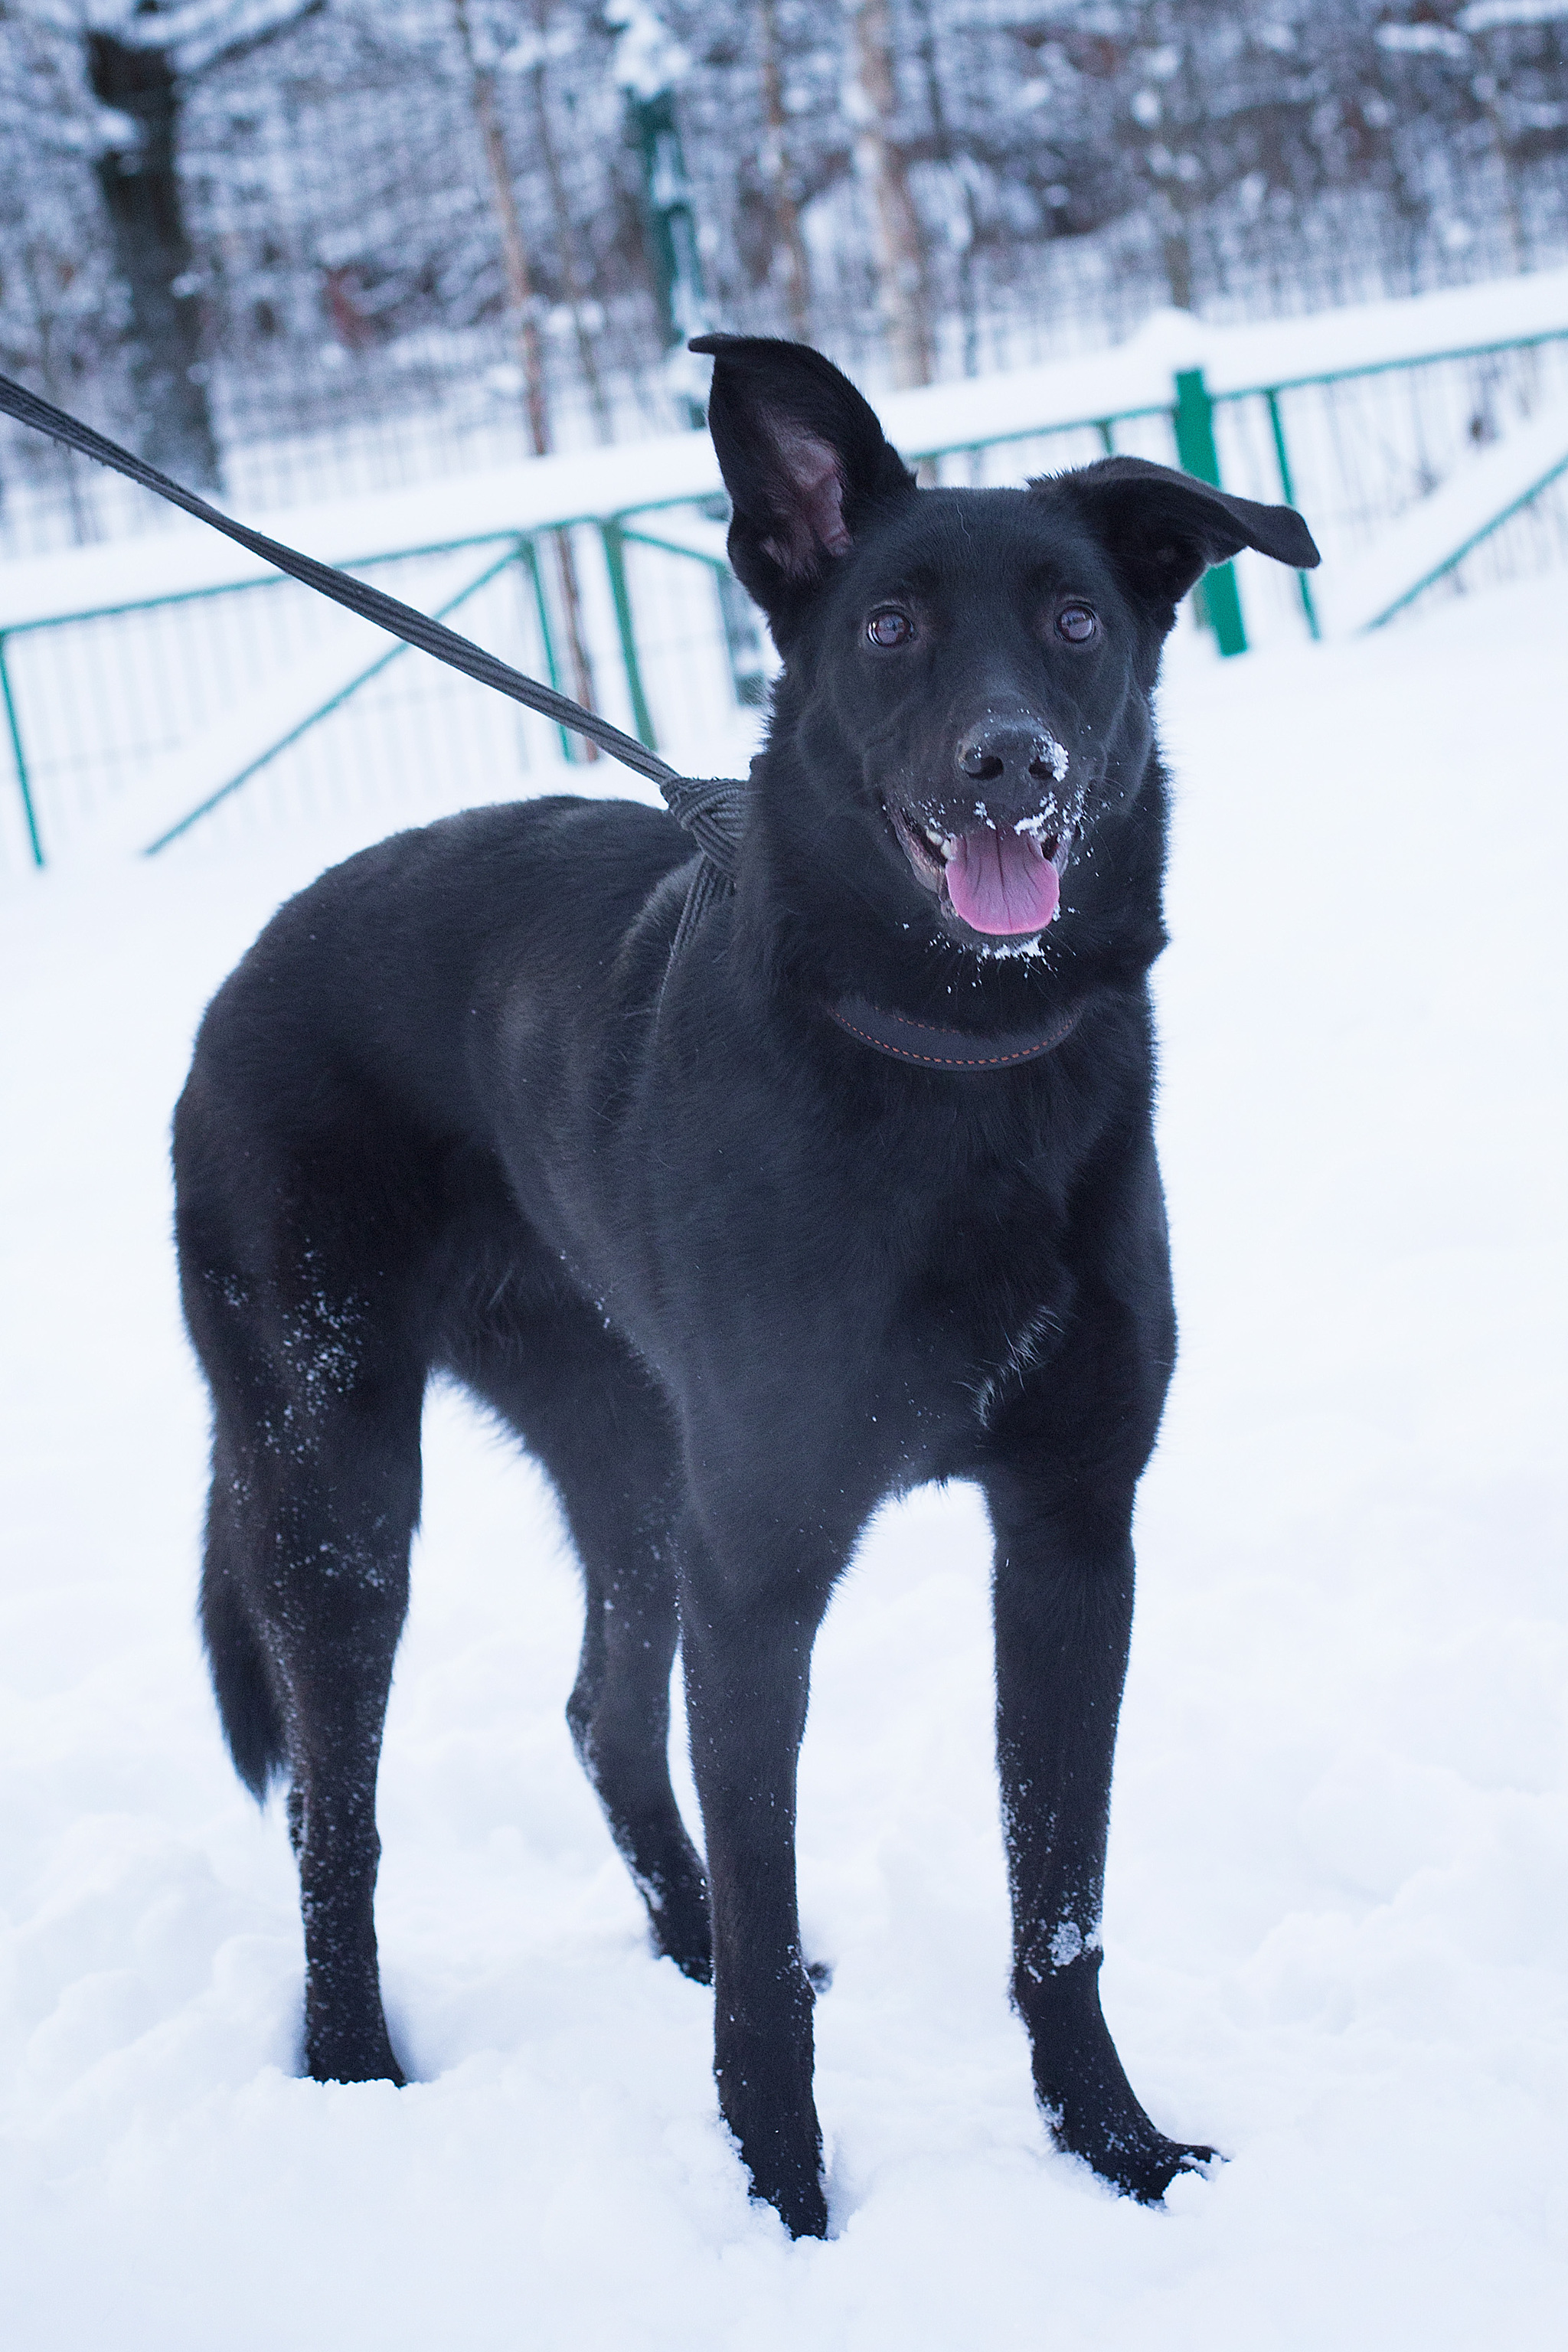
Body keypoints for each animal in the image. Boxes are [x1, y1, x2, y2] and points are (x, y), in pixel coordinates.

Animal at [172, 332, 1316, 2220]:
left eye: (1078, 620)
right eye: (890, 625)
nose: (1010, 766)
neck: (952, 1066)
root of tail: (240, 972)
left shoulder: (1070, 1536)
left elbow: (1058, 1907)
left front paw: (1117, 2153)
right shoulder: (765, 1570)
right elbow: (784, 1954)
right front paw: (784, 2202)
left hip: (637, 1468)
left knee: (600, 1712)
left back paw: (683, 1936)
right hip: (337, 1490)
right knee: (337, 1812)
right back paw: (352, 2068)